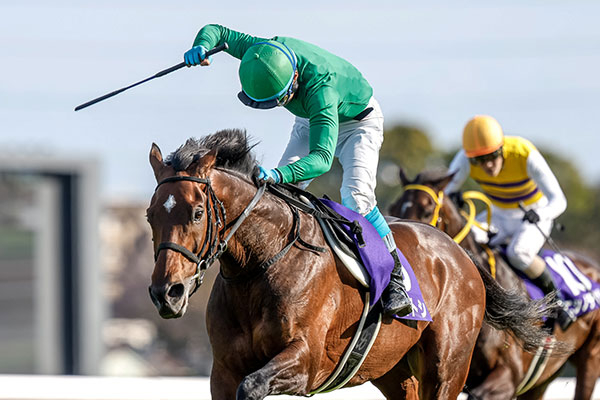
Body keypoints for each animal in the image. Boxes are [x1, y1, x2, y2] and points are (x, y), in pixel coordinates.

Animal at [146, 130, 552, 398]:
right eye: (151, 215)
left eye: (198, 213)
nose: (167, 293)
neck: (261, 266)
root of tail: (460, 254)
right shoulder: (224, 371)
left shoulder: (306, 361)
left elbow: (253, 385)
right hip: (395, 369)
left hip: (447, 369)